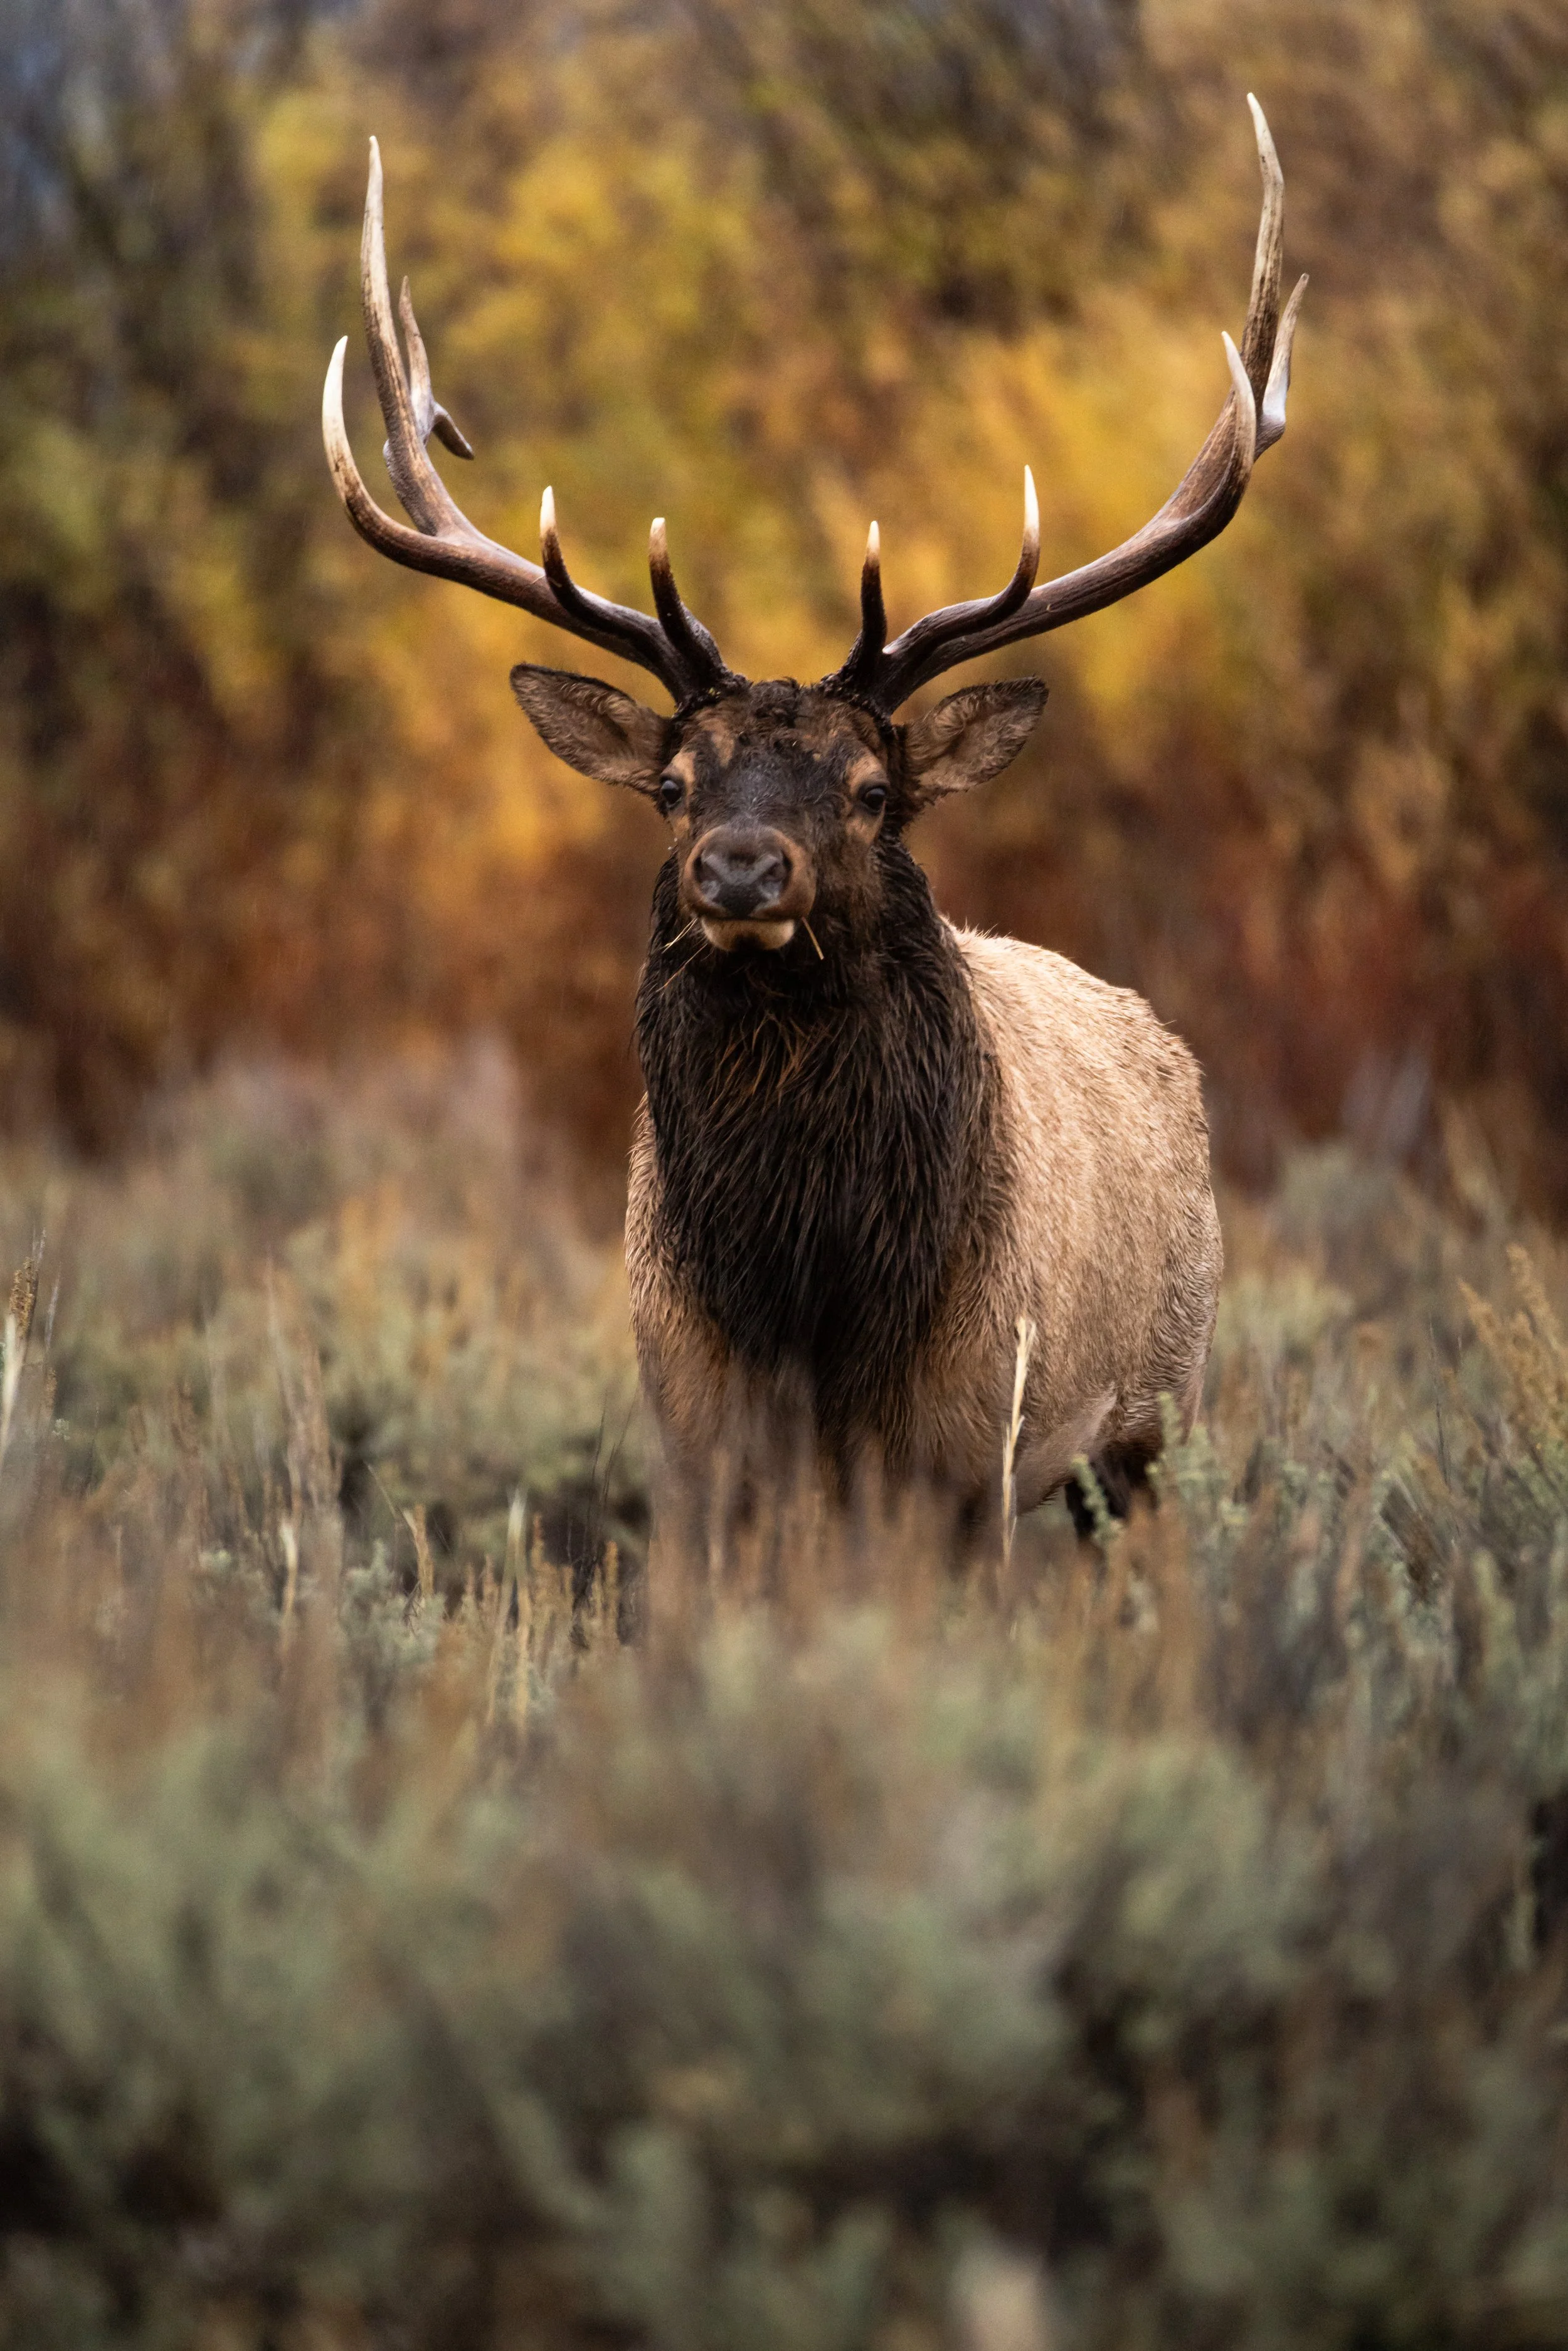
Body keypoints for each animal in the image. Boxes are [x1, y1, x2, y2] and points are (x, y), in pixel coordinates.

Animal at [323, 100, 1305, 1558]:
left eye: (868, 789)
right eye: (675, 784)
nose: (739, 868)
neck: (815, 1307)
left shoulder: (965, 1450)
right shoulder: (702, 1440)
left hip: (1155, 1414)